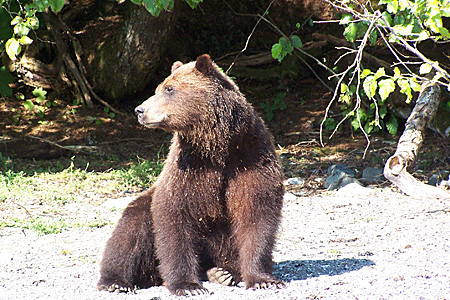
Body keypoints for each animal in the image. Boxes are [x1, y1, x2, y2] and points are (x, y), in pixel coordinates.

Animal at [97, 54, 284, 296]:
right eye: (159, 88)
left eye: (169, 89)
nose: (140, 110)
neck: (216, 147)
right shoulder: (188, 168)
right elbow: (174, 217)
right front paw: (188, 285)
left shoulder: (249, 158)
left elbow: (256, 214)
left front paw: (262, 279)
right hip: (145, 212)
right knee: (130, 231)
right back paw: (115, 281)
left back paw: (223, 272)